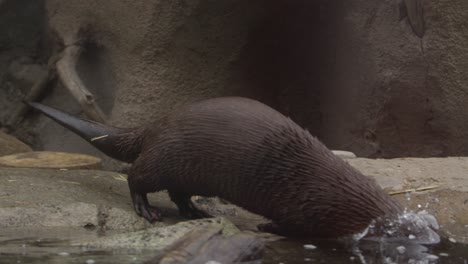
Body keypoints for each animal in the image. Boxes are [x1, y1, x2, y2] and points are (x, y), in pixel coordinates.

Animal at [25, 97, 426, 239]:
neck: (335, 194)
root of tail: (154, 125)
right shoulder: (305, 209)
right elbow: (290, 226)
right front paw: (266, 227)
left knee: (178, 193)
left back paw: (198, 212)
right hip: (166, 157)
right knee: (136, 176)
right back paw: (147, 210)